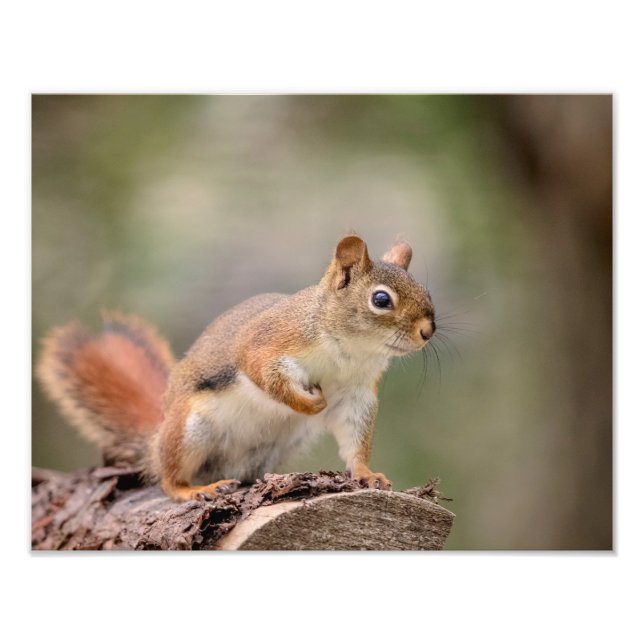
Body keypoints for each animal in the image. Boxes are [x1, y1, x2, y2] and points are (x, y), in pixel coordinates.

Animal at [37, 235, 436, 502]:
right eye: (381, 299)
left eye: (426, 292)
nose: (427, 331)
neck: (350, 350)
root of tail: (155, 437)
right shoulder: (267, 341)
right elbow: (264, 374)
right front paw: (309, 403)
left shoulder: (356, 393)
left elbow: (354, 436)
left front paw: (367, 474)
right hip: (189, 430)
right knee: (168, 477)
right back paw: (193, 490)